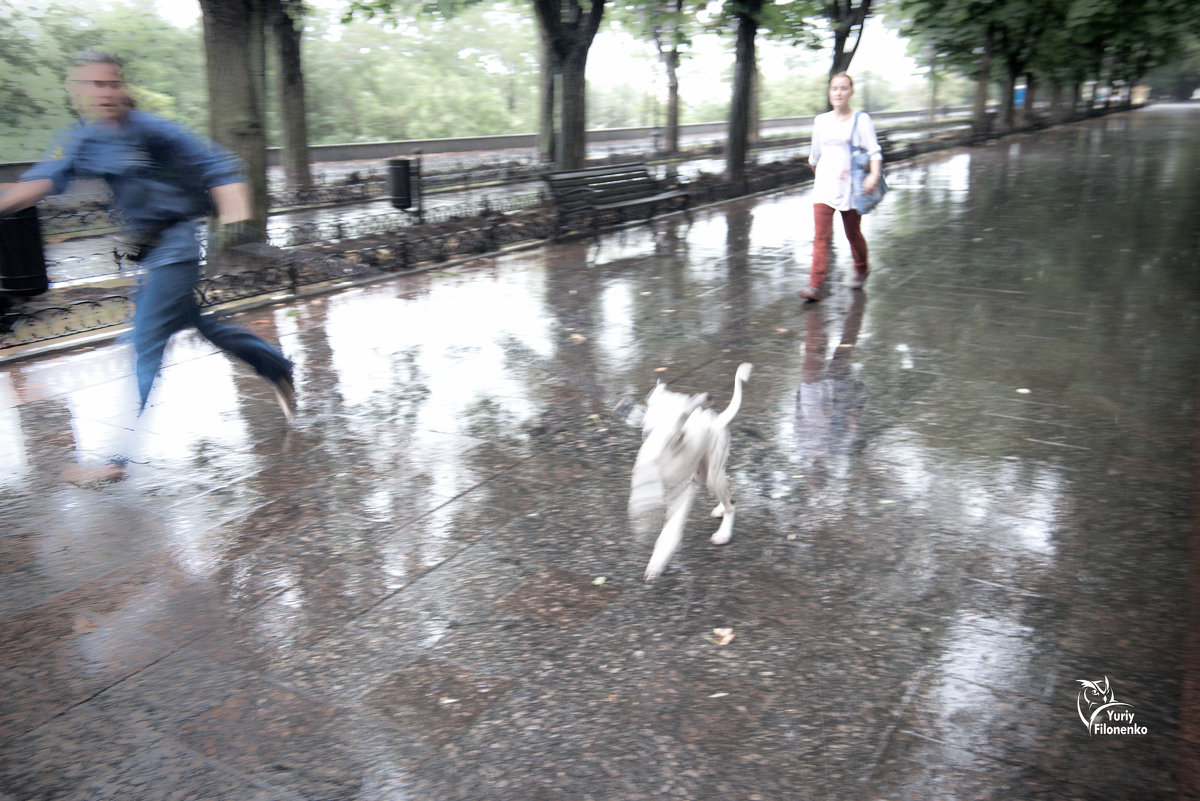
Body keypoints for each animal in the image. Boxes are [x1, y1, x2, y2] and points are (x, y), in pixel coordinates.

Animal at [628, 364, 748, 582]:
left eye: (686, 405)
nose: (706, 398)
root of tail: (718, 420)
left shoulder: (681, 494)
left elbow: (669, 532)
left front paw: (658, 560)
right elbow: (643, 497)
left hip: (711, 476)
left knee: (731, 505)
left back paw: (724, 533)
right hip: (707, 476)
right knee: (727, 485)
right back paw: (720, 509)